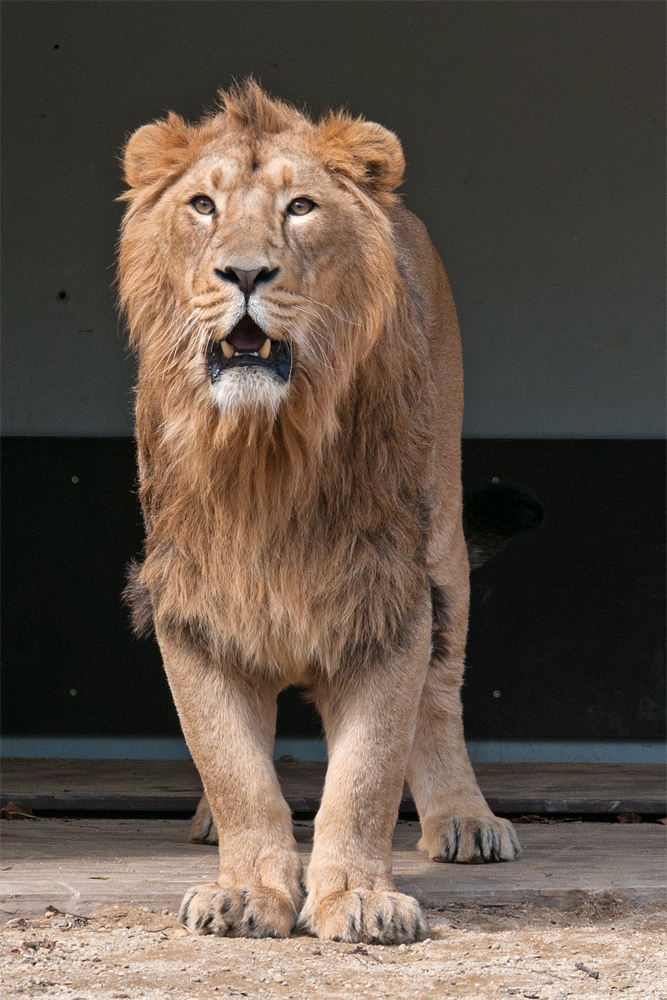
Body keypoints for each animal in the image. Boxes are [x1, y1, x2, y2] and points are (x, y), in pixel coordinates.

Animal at [117, 80, 520, 944]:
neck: (265, 453)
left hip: (443, 549)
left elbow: (366, 774)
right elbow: (233, 765)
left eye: (300, 207)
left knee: (440, 698)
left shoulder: (391, 597)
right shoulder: (190, 602)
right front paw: (243, 888)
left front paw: (358, 897)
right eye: (202, 205)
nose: (244, 272)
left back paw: (465, 819)